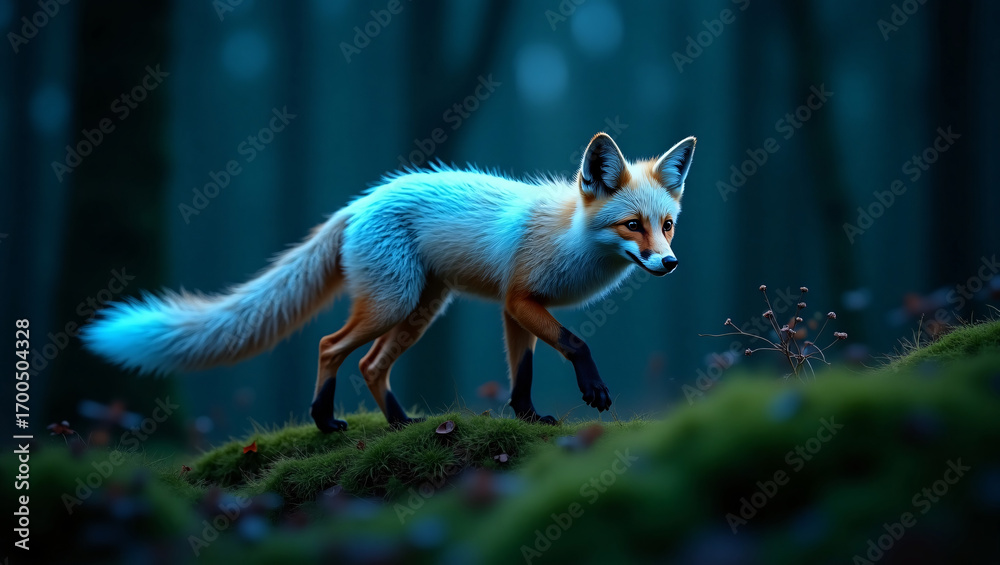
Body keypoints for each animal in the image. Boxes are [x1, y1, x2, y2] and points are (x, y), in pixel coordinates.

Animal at [81, 132, 696, 432]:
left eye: (667, 225)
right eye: (631, 225)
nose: (669, 264)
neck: (571, 236)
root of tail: (359, 202)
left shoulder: (513, 306)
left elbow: (521, 373)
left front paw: (526, 417)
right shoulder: (522, 298)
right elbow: (576, 342)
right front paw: (594, 391)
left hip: (420, 310)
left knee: (371, 365)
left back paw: (400, 424)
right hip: (394, 304)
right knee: (331, 346)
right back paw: (325, 421)